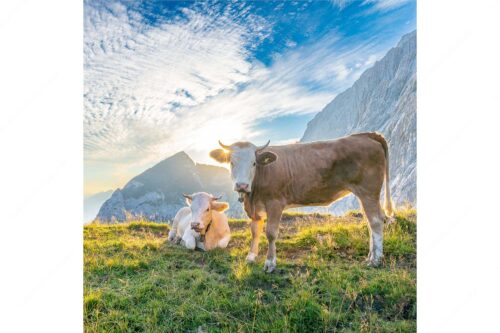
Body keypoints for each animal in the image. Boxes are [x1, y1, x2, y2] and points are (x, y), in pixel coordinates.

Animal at [209, 131, 392, 272]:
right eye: (231, 162)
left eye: (254, 163)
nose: (242, 185)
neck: (253, 194)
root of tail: (365, 135)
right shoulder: (255, 209)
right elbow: (255, 231)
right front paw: (251, 257)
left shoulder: (275, 203)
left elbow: (270, 233)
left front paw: (270, 263)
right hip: (365, 194)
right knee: (370, 221)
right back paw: (371, 256)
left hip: (368, 191)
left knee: (376, 221)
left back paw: (375, 260)